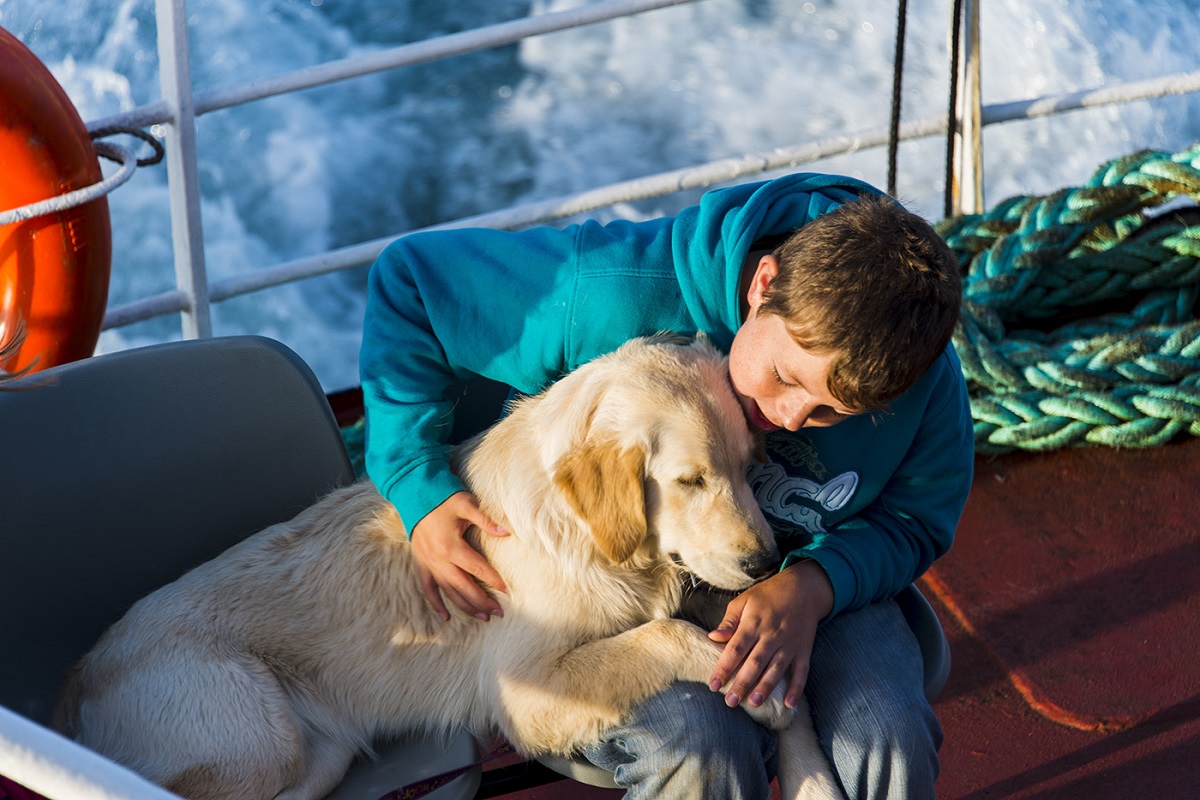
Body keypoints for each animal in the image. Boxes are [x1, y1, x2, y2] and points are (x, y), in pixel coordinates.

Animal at [54, 335, 844, 800]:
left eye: (748, 466)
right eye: (688, 480)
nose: (767, 559)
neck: (593, 539)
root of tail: (72, 683)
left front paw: (807, 767)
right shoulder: (524, 692)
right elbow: (666, 636)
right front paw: (758, 693)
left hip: (318, 754)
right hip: (254, 740)